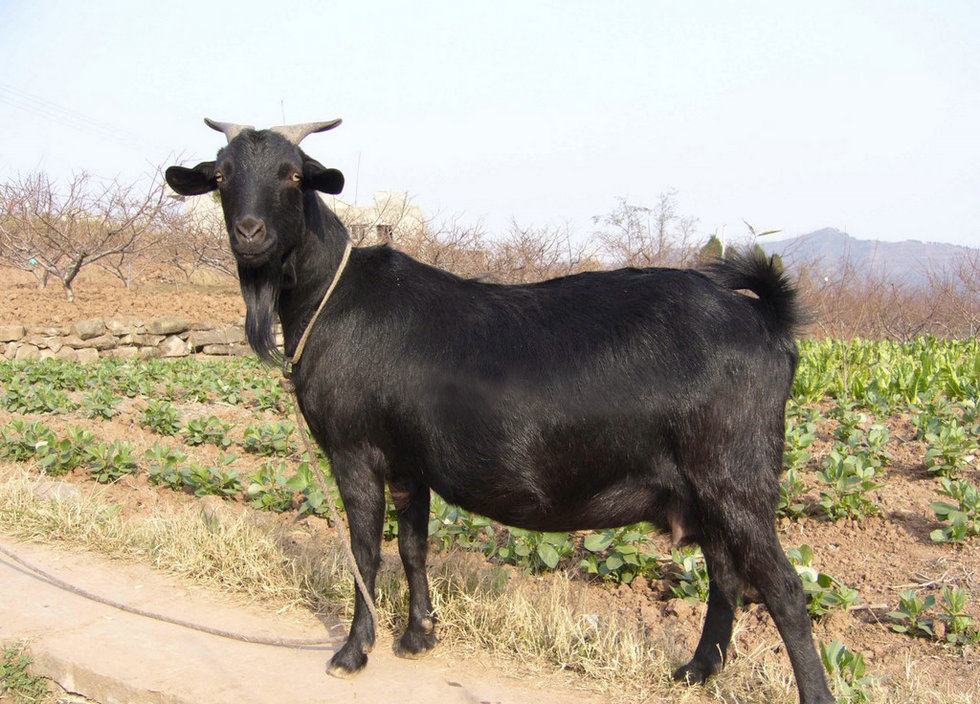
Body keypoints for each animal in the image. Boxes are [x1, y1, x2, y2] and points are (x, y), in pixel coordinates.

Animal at [167, 118, 836, 700]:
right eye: (222, 175)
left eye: (292, 174)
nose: (249, 234)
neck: (331, 296)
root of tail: (765, 320)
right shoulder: (409, 461)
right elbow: (413, 546)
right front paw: (418, 637)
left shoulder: (356, 449)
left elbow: (364, 551)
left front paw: (353, 652)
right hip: (707, 490)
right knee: (727, 576)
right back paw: (696, 671)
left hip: (736, 477)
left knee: (783, 589)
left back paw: (807, 691)